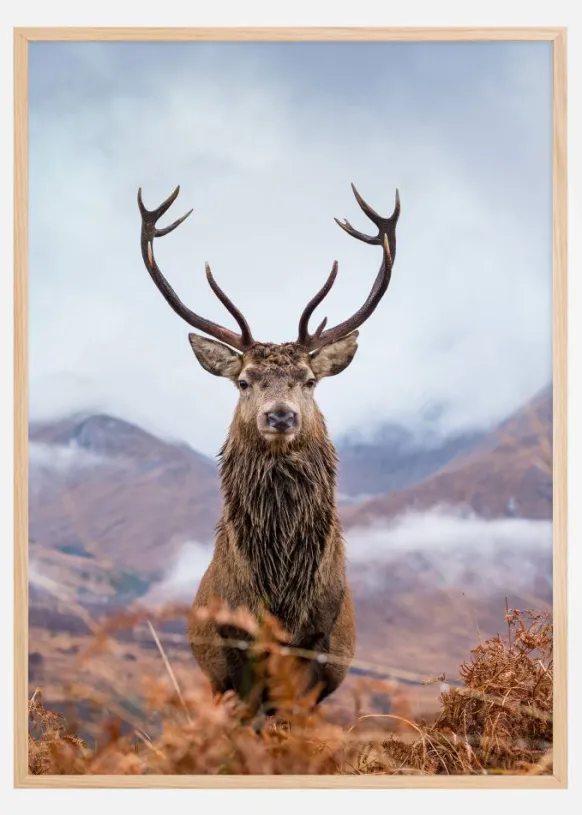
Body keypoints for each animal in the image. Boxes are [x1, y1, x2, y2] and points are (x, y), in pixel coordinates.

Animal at [137, 182, 400, 710]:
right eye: (243, 381)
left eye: (310, 380)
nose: (280, 415)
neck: (280, 599)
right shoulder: (231, 655)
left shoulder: (316, 652)